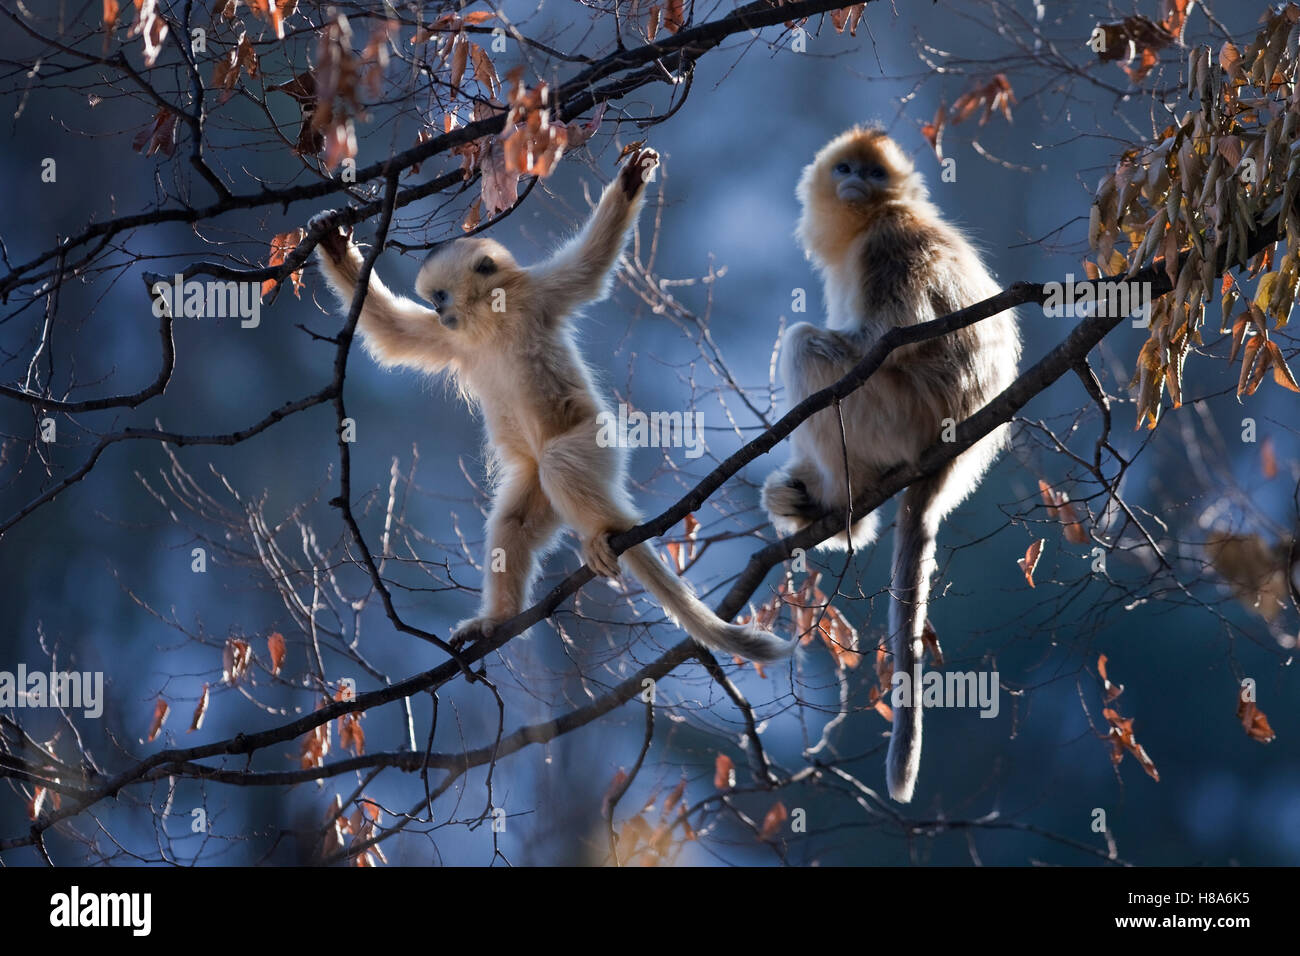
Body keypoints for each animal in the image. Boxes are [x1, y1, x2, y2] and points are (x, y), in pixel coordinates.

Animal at [312, 149, 792, 663]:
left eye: (440, 296)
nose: (440, 312)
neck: (491, 321)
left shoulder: (538, 295)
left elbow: (590, 265)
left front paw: (630, 183)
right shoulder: (453, 338)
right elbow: (392, 331)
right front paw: (334, 248)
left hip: (594, 443)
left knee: (562, 462)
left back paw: (607, 530)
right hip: (538, 484)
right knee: (516, 521)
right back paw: (497, 618)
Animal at [762, 127, 1021, 802]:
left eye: (874, 174)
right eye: (846, 169)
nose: (856, 181)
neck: (877, 216)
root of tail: (951, 460)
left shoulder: (889, 247)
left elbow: (886, 339)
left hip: (899, 419)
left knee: (806, 346)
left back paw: (839, 506)